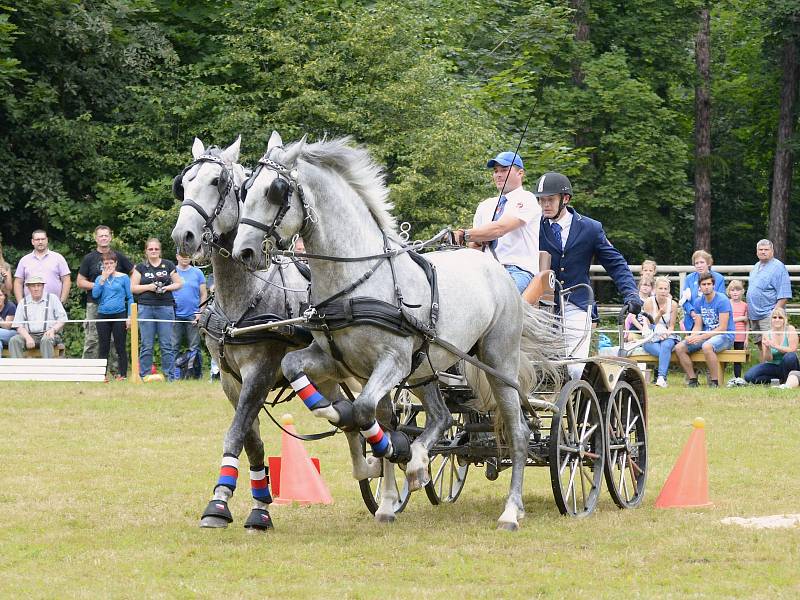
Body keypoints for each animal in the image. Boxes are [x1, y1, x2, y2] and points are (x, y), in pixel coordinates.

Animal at [228, 132, 560, 528]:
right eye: (245, 189)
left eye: (275, 191)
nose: (244, 252)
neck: (357, 280)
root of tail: (493, 268)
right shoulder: (335, 360)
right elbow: (301, 371)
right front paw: (348, 429)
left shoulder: (393, 360)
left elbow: (365, 411)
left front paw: (387, 448)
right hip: (426, 369)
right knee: (440, 416)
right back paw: (414, 469)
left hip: (496, 362)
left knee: (517, 429)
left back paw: (510, 509)